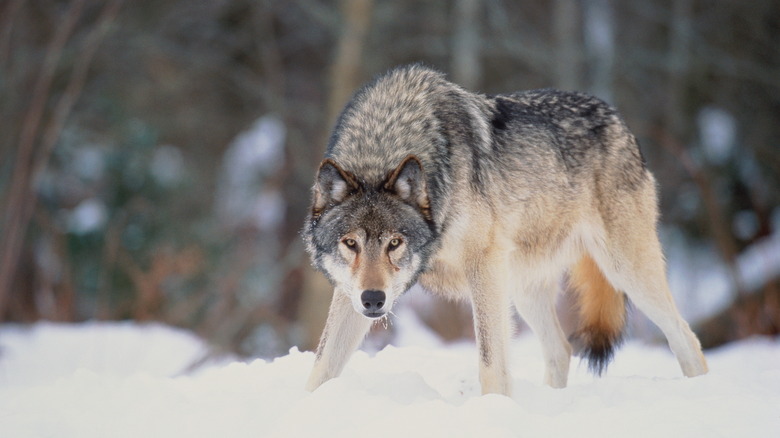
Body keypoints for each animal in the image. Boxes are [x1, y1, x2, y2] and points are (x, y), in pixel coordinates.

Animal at [302, 63, 708, 396]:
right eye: (350, 243)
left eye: (395, 243)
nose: (374, 300)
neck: (385, 143)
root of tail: (617, 117)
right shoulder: (349, 292)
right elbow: (321, 366)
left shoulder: (483, 267)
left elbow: (490, 363)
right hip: (523, 288)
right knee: (561, 350)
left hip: (625, 272)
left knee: (687, 338)